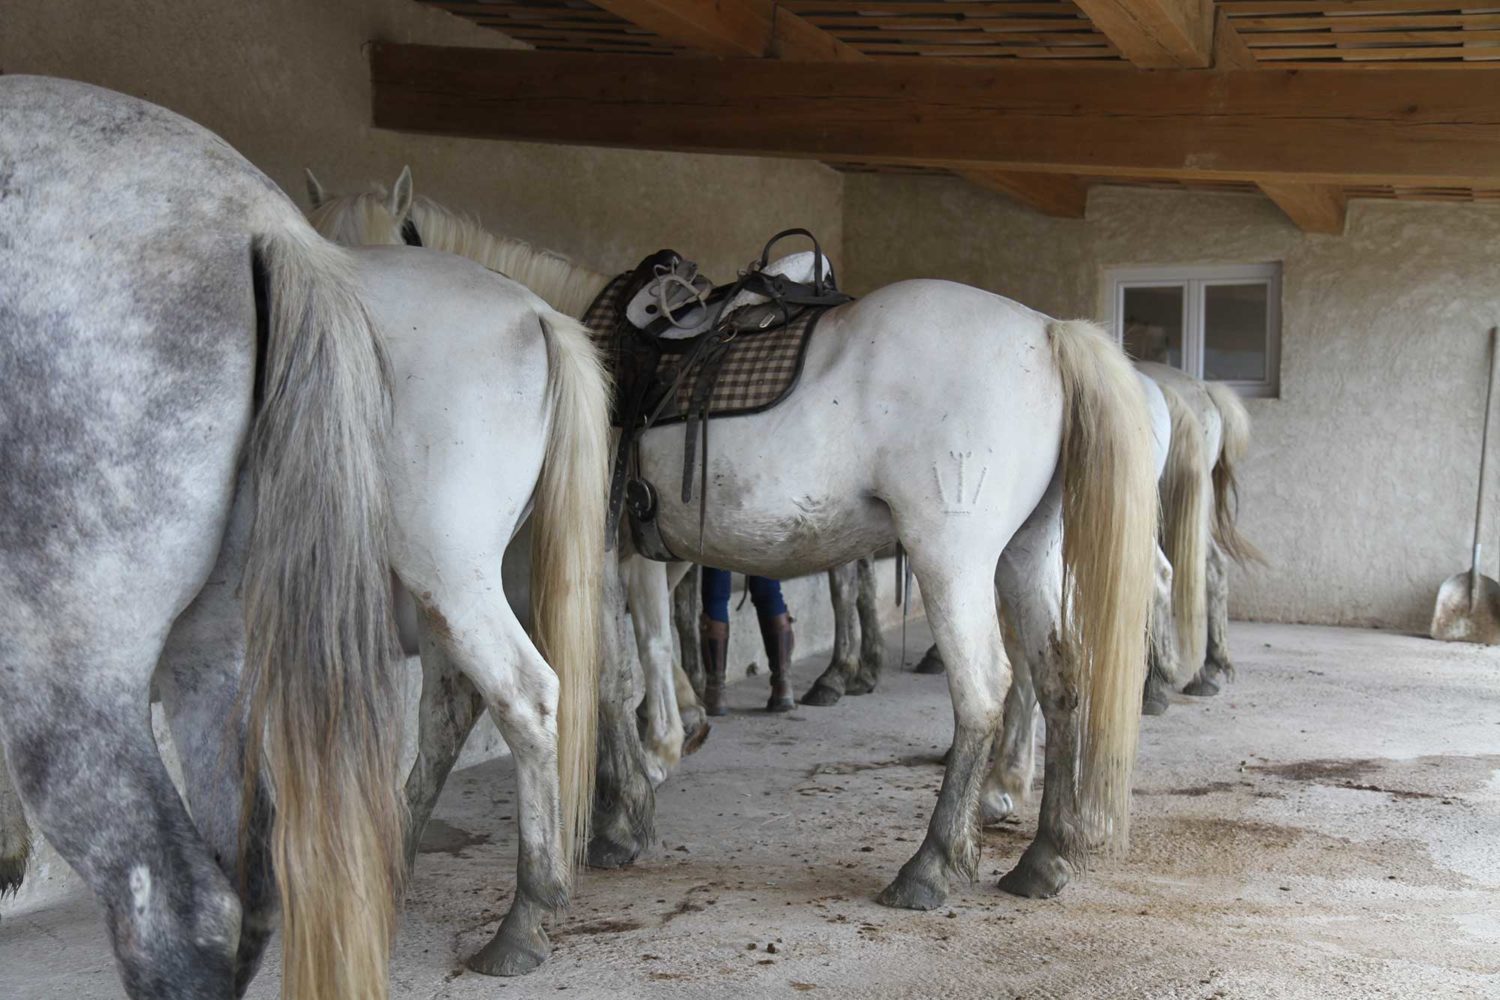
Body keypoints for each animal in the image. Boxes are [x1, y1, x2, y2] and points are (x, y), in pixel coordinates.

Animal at [295, 177, 1158, 905]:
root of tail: (1048, 332)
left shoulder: (595, 557)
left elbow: (610, 675)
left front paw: (623, 809)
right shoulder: (623, 559)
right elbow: (624, 667)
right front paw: (635, 790)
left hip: (953, 560)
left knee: (984, 690)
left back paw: (932, 865)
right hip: (1024, 556)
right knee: (1061, 677)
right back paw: (1045, 856)